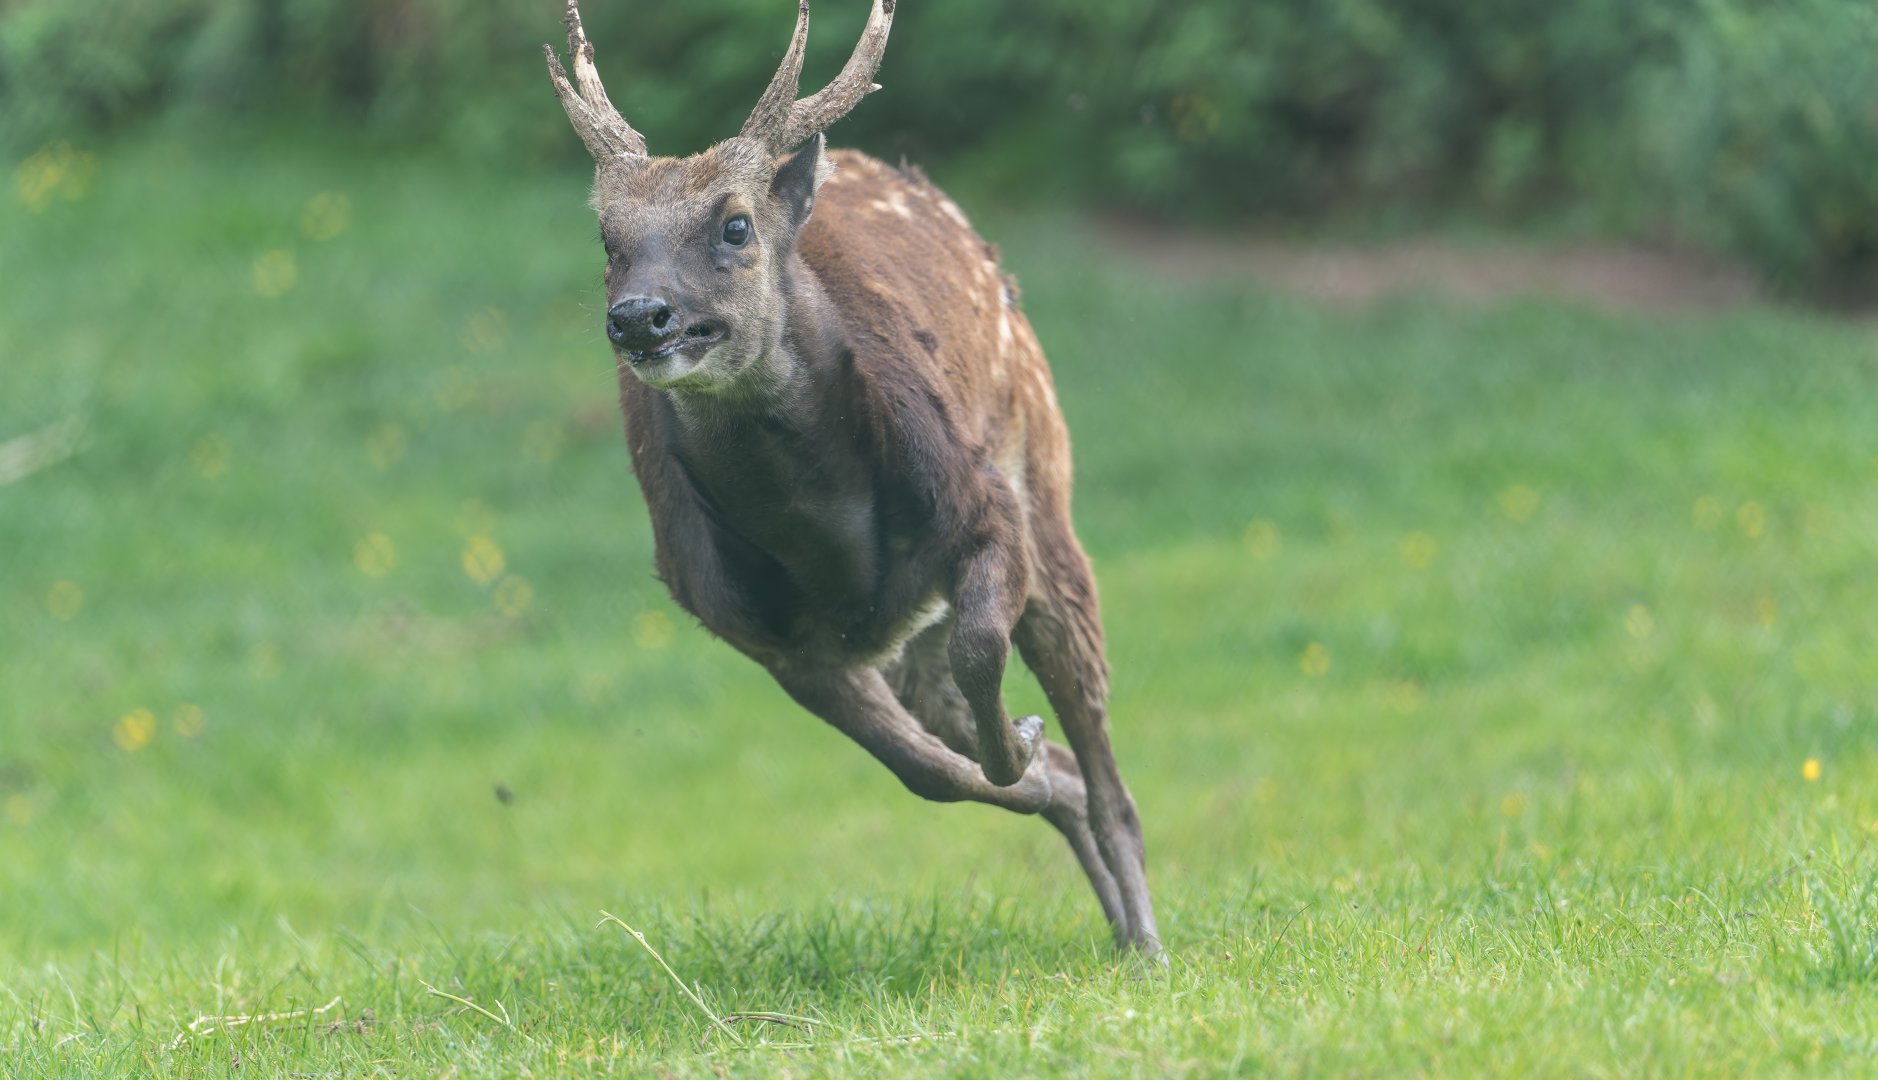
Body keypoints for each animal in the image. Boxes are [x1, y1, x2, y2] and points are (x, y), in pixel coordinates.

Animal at [543, 0, 1162, 958]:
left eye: (735, 224)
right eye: (608, 240)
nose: (641, 317)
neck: (824, 537)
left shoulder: (988, 506)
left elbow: (989, 668)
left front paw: (1021, 745)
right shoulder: (765, 635)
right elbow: (929, 775)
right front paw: (1025, 764)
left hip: (1046, 477)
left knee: (1108, 772)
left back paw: (1148, 945)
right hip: (912, 637)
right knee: (1039, 757)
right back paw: (1113, 912)